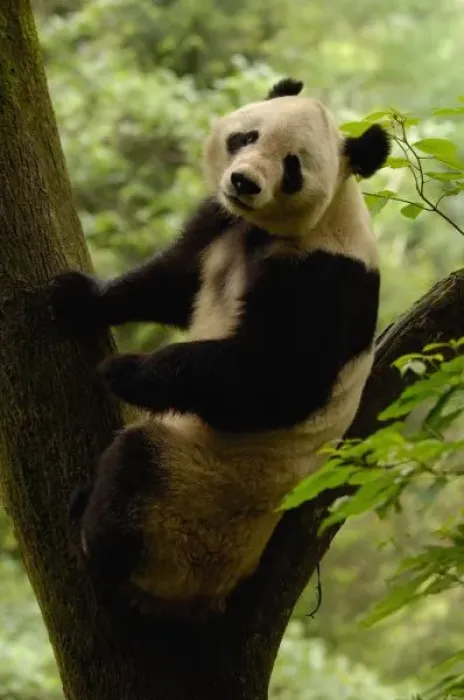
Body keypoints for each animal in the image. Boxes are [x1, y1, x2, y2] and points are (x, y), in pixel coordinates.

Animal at [49, 77, 390, 618]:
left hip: (199, 497)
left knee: (138, 467)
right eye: (246, 136)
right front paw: (77, 297)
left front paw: (128, 371)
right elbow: (171, 284)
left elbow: (273, 380)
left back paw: (92, 535)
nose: (244, 182)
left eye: (292, 166)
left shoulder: (328, 278)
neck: (266, 230)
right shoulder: (220, 222)